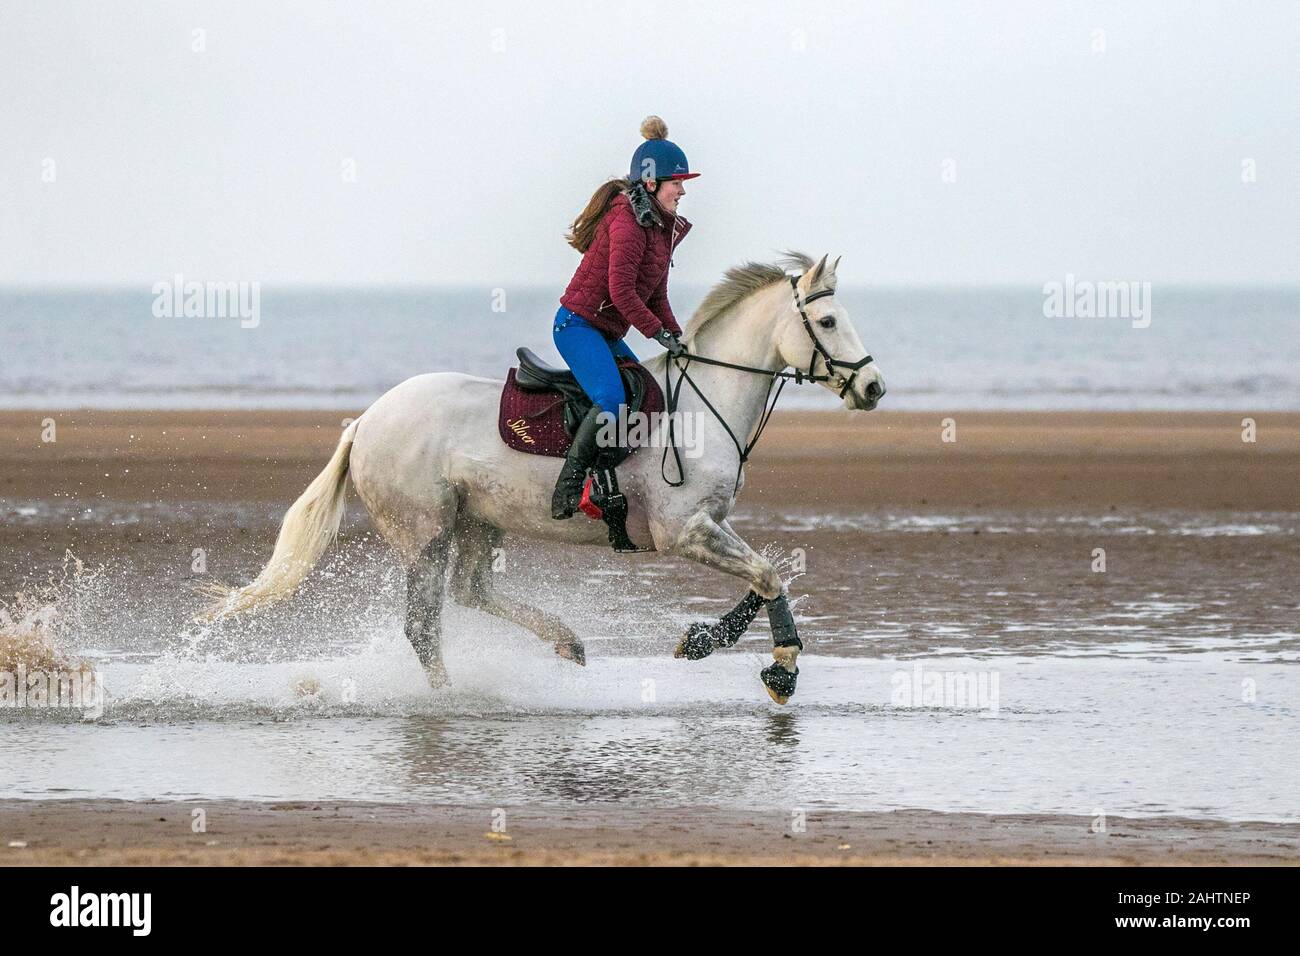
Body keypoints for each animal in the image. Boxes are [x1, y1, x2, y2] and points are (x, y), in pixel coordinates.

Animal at [202, 254, 889, 702]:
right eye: (829, 323)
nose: (874, 388)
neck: (704, 402)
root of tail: (367, 420)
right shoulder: (683, 532)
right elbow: (770, 573)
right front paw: (782, 669)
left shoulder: (712, 524)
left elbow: (766, 574)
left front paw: (702, 640)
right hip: (425, 534)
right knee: (425, 625)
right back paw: (450, 698)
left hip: (478, 523)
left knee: (472, 592)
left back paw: (566, 643)